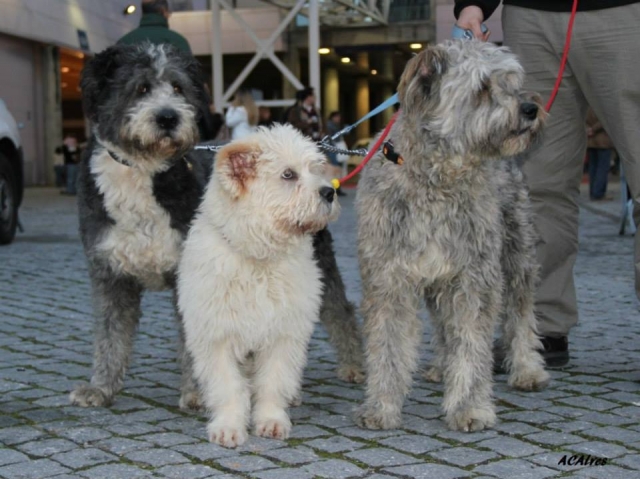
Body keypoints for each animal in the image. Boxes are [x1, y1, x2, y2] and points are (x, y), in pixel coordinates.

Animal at [69, 44, 364, 408]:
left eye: (178, 87)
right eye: (141, 87)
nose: (168, 118)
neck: (144, 172)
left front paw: (198, 392)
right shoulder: (109, 273)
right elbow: (109, 333)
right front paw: (100, 387)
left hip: (319, 260)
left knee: (340, 310)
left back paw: (350, 365)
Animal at [178, 125, 338, 448]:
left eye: (315, 169)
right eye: (288, 175)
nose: (330, 192)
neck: (258, 257)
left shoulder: (284, 335)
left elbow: (273, 382)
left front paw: (271, 420)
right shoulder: (216, 337)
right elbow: (228, 386)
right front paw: (228, 426)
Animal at [356, 39, 552, 434]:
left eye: (511, 80)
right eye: (482, 87)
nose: (530, 107)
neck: (436, 181)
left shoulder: (474, 277)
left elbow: (472, 345)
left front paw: (469, 407)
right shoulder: (389, 279)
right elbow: (388, 346)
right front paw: (381, 406)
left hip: (516, 255)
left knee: (520, 312)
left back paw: (526, 368)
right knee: (444, 325)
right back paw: (439, 367)